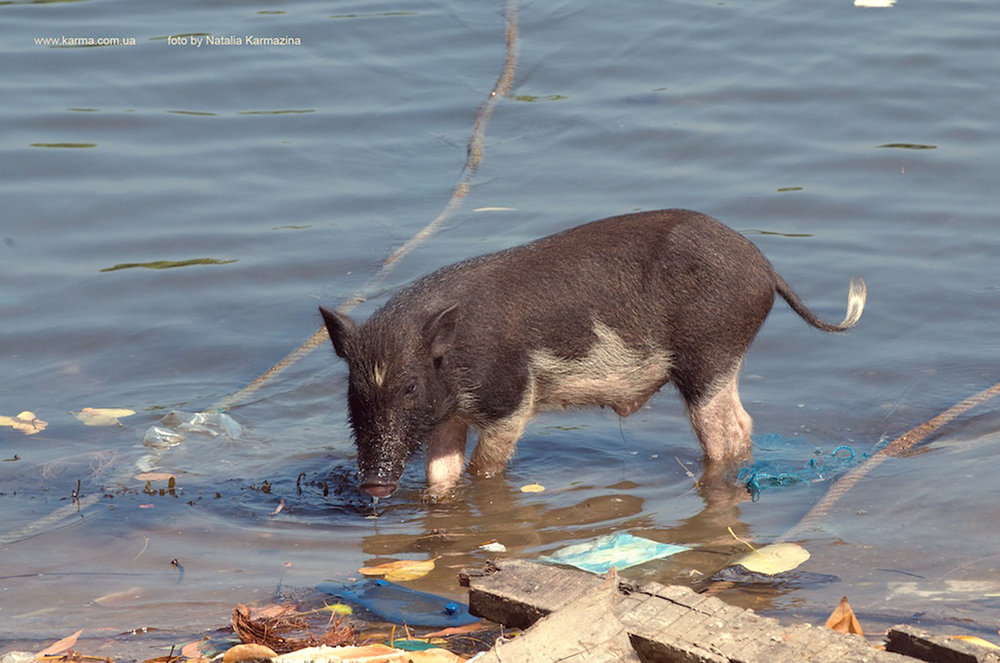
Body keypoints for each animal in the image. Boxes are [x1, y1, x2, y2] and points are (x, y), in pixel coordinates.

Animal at [322, 209, 868, 498]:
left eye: (410, 386)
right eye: (353, 390)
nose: (373, 485)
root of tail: (765, 267)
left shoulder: (510, 397)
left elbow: (486, 464)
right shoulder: (449, 415)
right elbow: (442, 472)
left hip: (710, 353)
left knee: (727, 430)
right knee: (745, 421)